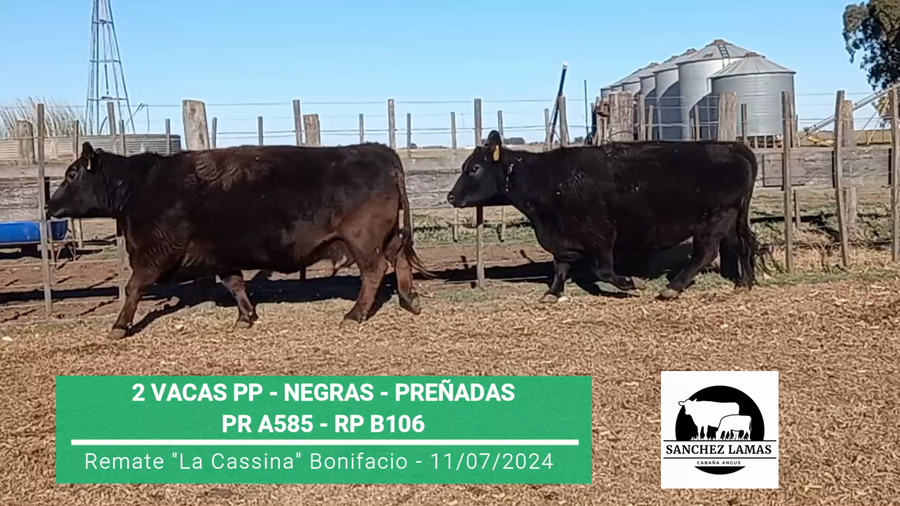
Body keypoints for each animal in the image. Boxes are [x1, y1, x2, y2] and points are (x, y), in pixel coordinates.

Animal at [47, 141, 431, 339]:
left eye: (71, 173)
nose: (50, 205)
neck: (141, 187)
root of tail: (378, 149)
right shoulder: (221, 255)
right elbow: (235, 284)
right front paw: (246, 316)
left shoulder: (155, 252)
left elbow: (133, 287)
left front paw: (119, 325)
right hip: (386, 235)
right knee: (398, 258)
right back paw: (409, 300)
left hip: (364, 239)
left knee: (374, 270)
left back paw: (355, 314)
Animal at [446, 130, 759, 302]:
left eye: (474, 168)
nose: (451, 197)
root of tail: (731, 145)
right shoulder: (563, 237)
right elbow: (560, 266)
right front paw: (552, 293)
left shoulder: (601, 232)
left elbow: (603, 269)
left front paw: (629, 283)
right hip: (730, 218)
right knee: (742, 244)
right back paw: (744, 282)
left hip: (712, 219)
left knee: (705, 253)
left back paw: (673, 287)